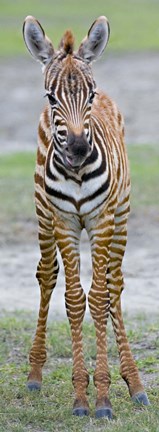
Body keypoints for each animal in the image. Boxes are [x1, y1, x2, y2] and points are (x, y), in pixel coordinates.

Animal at [23, 15, 150, 416]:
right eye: (51, 97)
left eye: (90, 96)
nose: (78, 148)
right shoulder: (63, 223)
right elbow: (76, 300)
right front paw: (82, 395)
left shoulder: (102, 221)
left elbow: (99, 298)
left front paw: (104, 396)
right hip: (43, 215)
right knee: (47, 276)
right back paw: (34, 373)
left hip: (121, 215)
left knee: (115, 285)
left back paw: (135, 382)